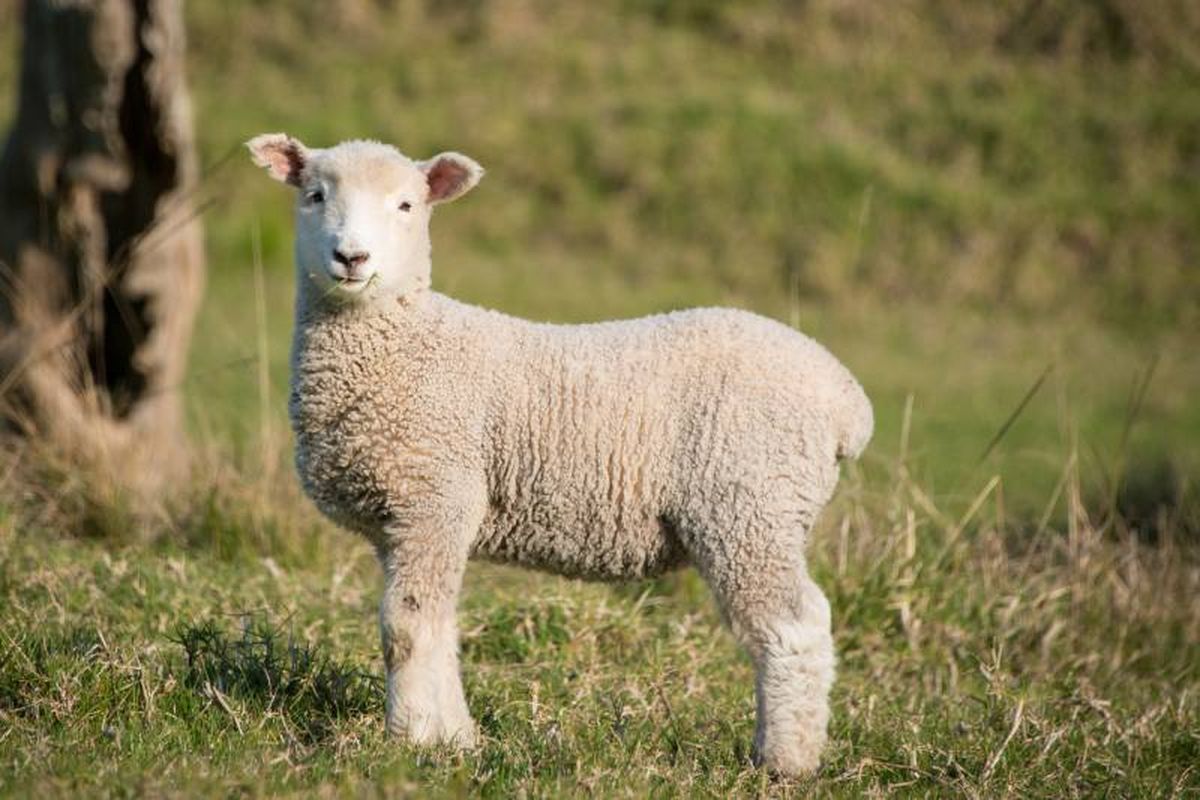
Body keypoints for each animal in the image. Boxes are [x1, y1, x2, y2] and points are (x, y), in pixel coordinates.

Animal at [247, 133, 873, 776]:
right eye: (314, 196)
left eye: (406, 206)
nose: (352, 257)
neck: (406, 345)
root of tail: (844, 398)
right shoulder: (404, 521)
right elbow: (439, 626)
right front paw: (456, 739)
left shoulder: (436, 498)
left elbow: (407, 627)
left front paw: (413, 741)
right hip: (763, 509)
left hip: (747, 503)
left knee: (794, 627)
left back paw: (785, 760)